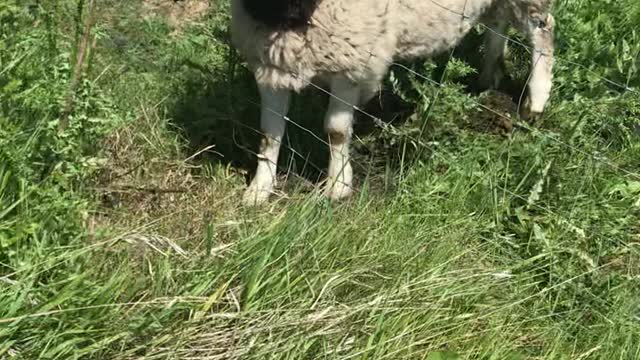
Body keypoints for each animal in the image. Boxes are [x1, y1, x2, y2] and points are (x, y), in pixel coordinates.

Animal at [230, 0, 556, 204]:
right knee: (499, 21)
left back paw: (535, 99)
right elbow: (269, 134)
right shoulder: (269, 62)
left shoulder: (353, 60)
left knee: (543, 28)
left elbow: (336, 130)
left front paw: (338, 186)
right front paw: (259, 189)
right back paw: (490, 74)